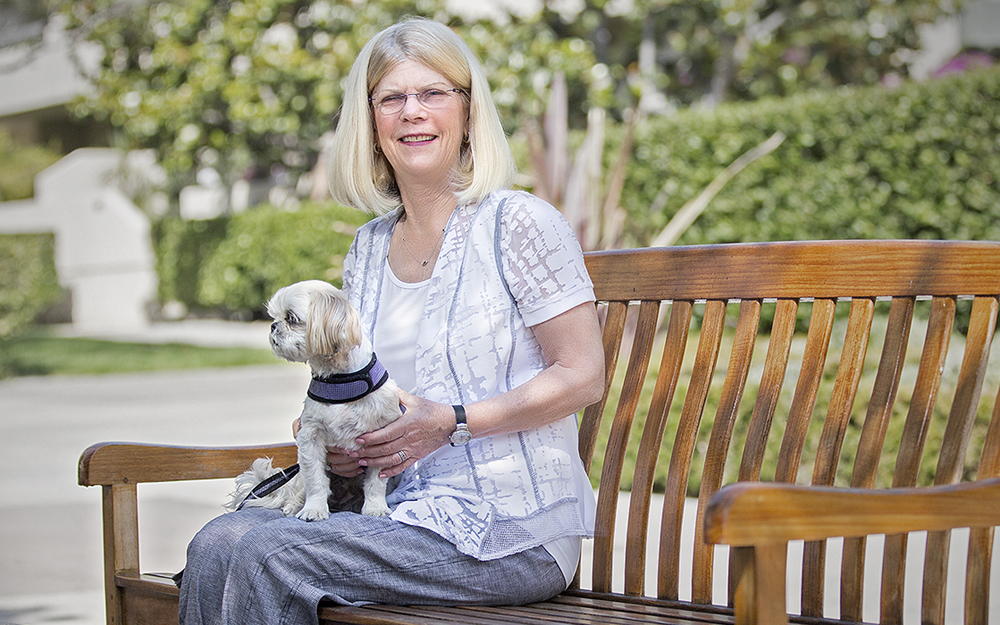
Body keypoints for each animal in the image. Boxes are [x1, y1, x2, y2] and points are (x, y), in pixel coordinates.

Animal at [229, 280, 404, 520]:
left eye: (291, 318)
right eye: (276, 317)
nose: (273, 326)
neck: (342, 383)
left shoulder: (381, 442)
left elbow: (376, 481)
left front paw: (375, 507)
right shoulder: (310, 438)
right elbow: (315, 480)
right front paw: (314, 509)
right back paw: (293, 505)